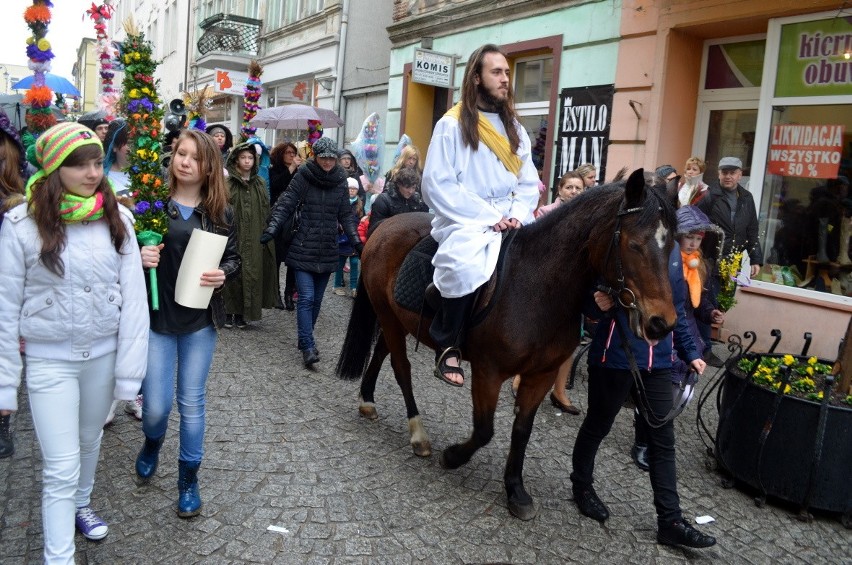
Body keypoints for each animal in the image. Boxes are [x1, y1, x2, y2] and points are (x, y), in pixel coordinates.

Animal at [336, 169, 676, 520]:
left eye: (671, 246)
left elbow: (522, 431)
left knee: (380, 353)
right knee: (401, 368)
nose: (661, 323)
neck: (537, 287)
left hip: (395, 320)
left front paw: (515, 489)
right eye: (634, 245)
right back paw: (418, 434)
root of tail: (384, 226)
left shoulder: (541, 375)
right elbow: (484, 430)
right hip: (389, 317)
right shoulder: (489, 371)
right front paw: (453, 456)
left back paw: (367, 401)